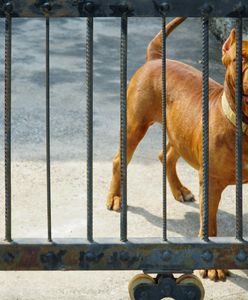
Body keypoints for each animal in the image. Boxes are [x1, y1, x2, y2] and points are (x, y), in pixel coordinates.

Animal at [105, 18, 248, 282]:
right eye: (238, 59)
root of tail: (154, 59)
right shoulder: (210, 181)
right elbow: (209, 223)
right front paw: (213, 265)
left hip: (181, 132)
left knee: (167, 156)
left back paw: (179, 189)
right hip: (134, 126)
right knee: (120, 159)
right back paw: (116, 197)